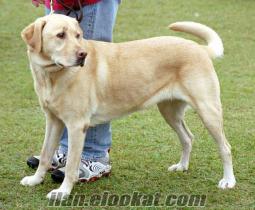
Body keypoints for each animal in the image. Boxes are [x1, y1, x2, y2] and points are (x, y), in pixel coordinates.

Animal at [20, 13, 237, 199]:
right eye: (60, 35)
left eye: (78, 35)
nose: (83, 55)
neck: (51, 76)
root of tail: (199, 48)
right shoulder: (53, 121)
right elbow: (45, 154)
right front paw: (35, 180)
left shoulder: (76, 125)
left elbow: (72, 165)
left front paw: (63, 192)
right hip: (170, 112)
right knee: (188, 138)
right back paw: (181, 166)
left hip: (208, 111)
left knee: (225, 147)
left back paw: (228, 181)